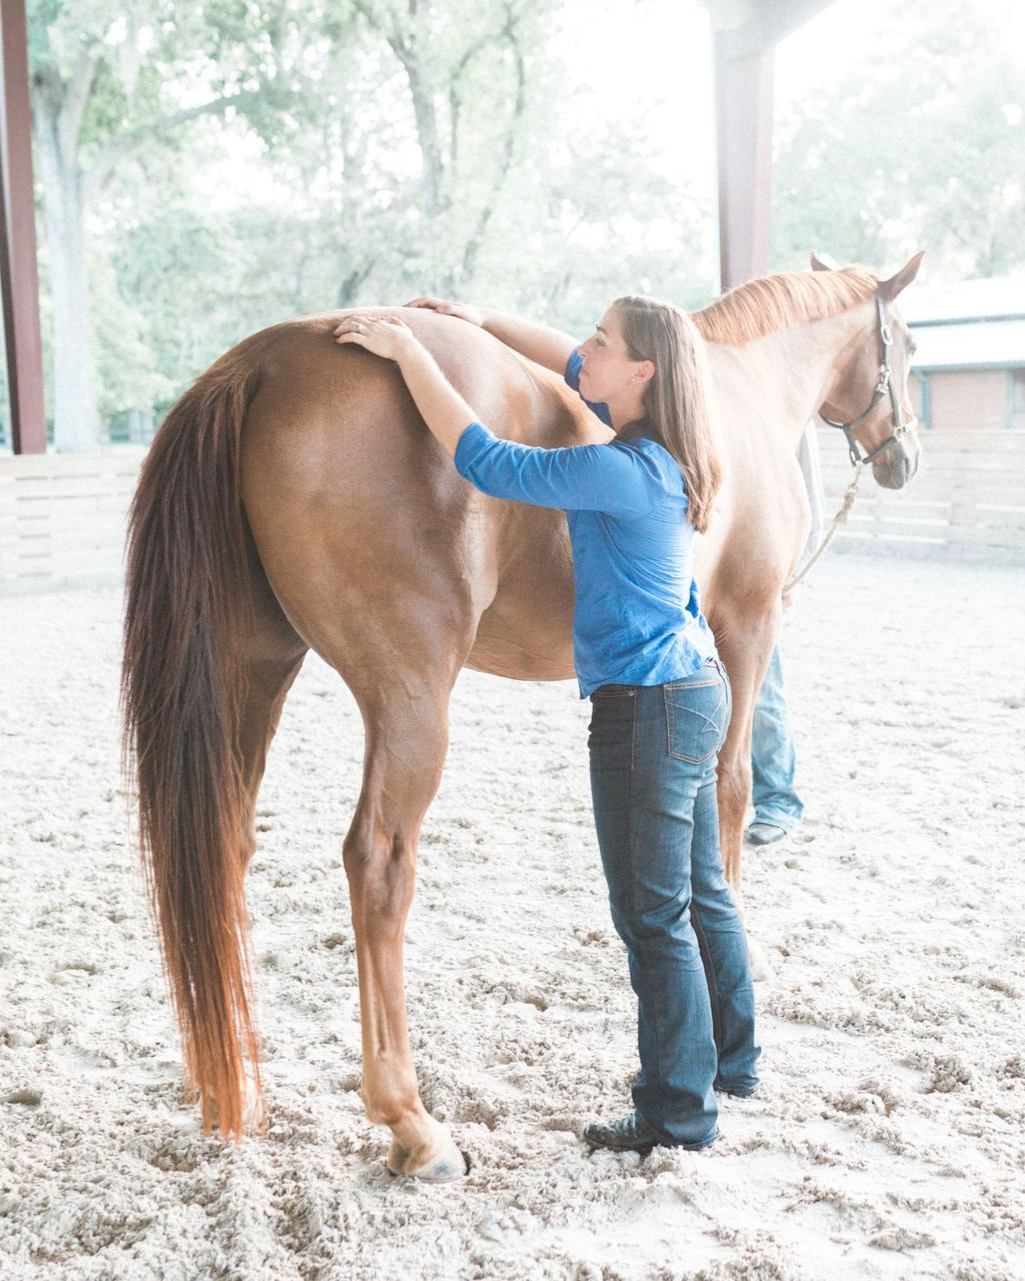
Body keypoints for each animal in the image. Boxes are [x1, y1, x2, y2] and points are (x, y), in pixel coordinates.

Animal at [122, 253, 923, 1181]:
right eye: (906, 346)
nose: (904, 456)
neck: (729, 393)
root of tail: (264, 360)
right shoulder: (746, 628)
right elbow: (726, 791)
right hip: (409, 695)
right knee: (377, 864)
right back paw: (412, 1123)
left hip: (252, 671)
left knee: (222, 845)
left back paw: (231, 1080)